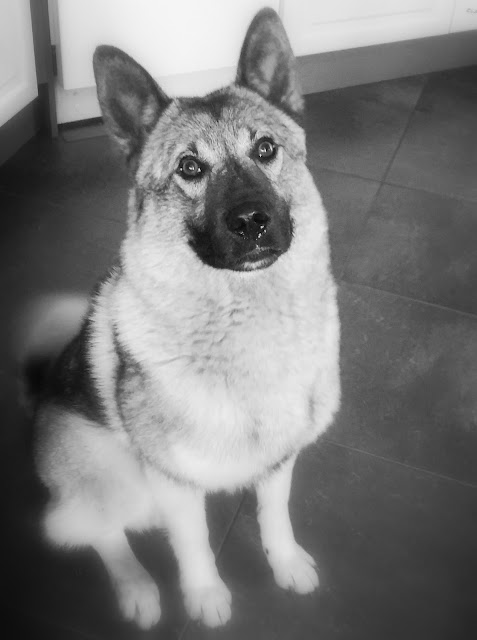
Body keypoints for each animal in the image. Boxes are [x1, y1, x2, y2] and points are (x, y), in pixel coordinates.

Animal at [24, 7, 340, 630]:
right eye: (190, 167)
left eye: (265, 149)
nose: (252, 220)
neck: (245, 319)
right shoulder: (170, 480)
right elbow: (191, 543)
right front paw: (204, 596)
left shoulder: (279, 461)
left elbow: (275, 515)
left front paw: (286, 562)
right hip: (113, 478)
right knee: (101, 534)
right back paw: (137, 589)